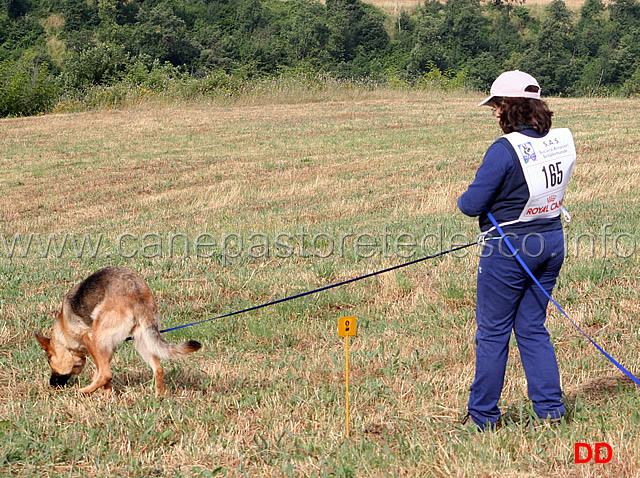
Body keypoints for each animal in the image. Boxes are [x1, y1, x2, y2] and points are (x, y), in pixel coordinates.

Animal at [35, 268, 200, 398]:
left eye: (49, 361)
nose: (51, 384)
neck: (63, 335)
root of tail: (137, 293)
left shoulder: (91, 340)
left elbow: (102, 372)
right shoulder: (108, 347)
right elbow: (103, 372)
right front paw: (108, 396)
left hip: (101, 336)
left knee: (106, 374)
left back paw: (83, 391)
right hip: (141, 341)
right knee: (158, 369)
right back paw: (158, 397)